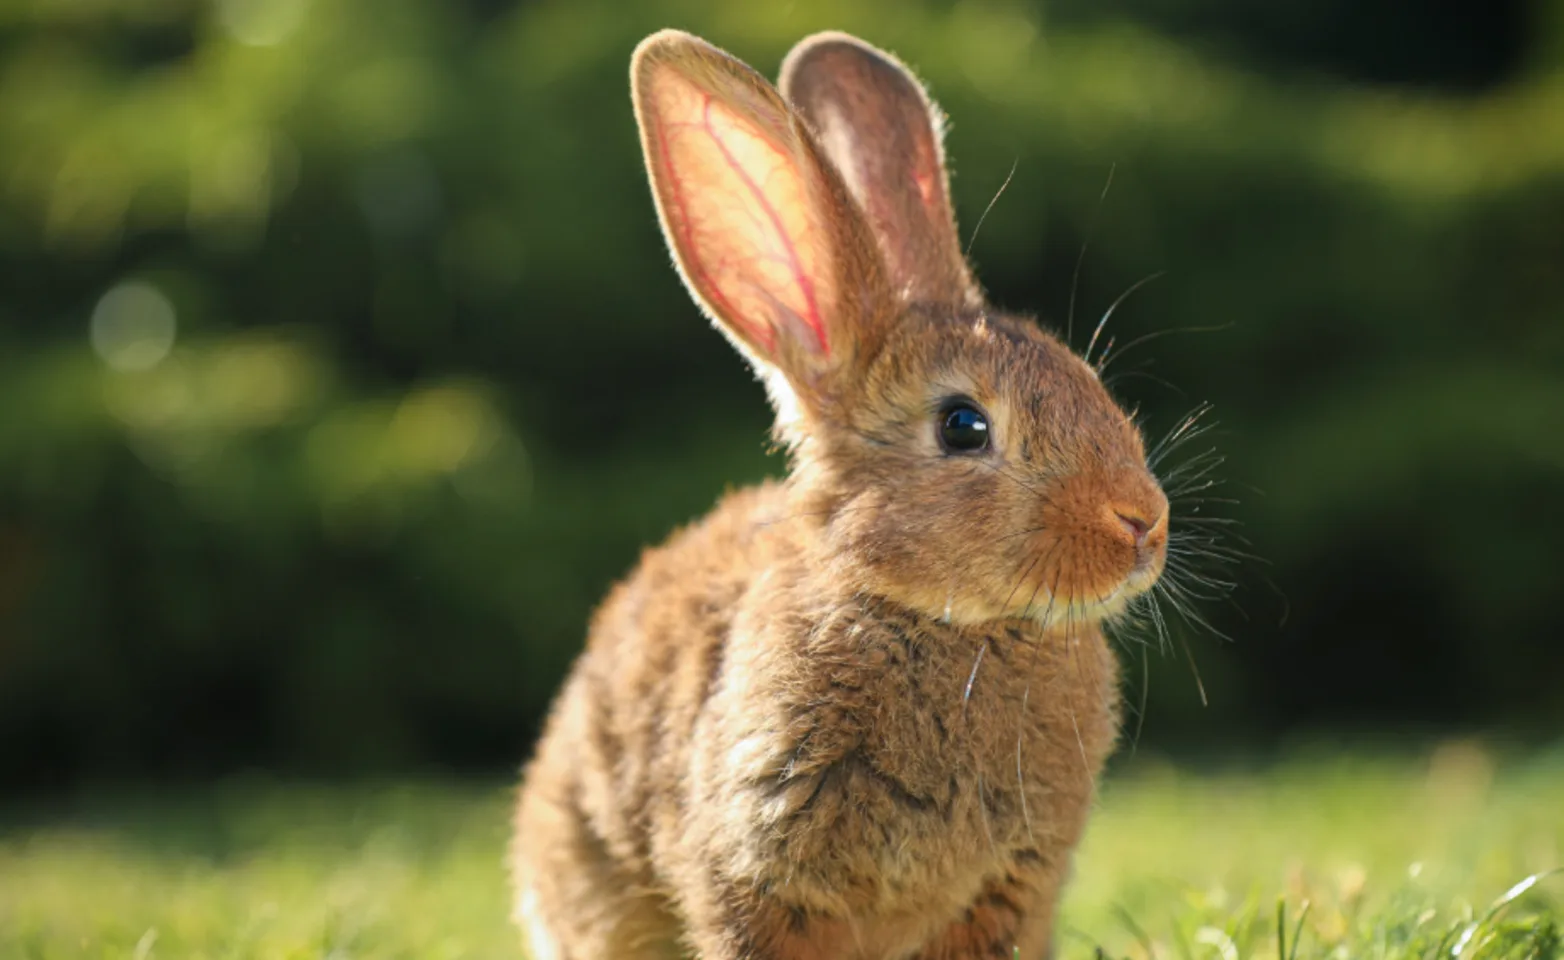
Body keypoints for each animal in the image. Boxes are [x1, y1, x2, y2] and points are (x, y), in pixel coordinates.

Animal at [512, 26, 1176, 956]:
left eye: (1089, 381)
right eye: (963, 426)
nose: (1143, 522)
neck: (940, 617)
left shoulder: (1008, 894)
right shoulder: (755, 877)